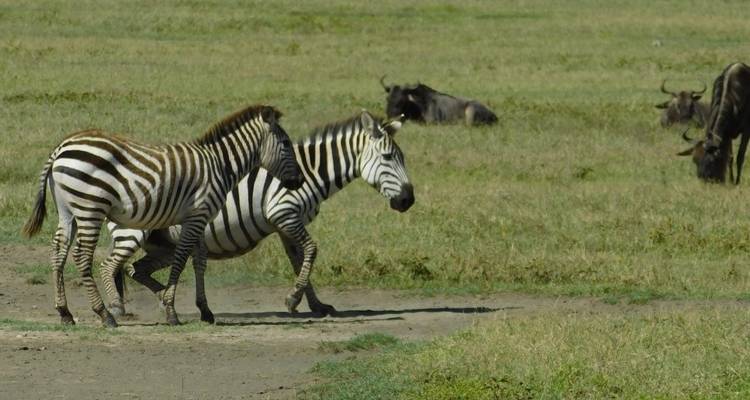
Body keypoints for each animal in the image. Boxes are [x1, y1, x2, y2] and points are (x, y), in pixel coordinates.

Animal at [22, 105, 304, 327]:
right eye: (286, 144)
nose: (299, 181)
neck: (219, 165)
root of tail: (61, 147)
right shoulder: (196, 216)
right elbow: (180, 260)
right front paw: (171, 310)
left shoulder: (199, 217)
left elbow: (199, 262)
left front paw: (205, 310)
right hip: (90, 208)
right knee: (81, 257)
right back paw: (104, 314)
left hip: (67, 210)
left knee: (58, 253)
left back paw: (65, 313)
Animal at [100, 110, 414, 321]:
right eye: (388, 158)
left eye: (403, 158)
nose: (408, 200)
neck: (311, 171)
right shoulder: (284, 212)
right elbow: (312, 249)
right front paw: (293, 299)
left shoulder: (286, 225)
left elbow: (299, 259)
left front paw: (314, 304)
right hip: (133, 232)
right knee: (111, 265)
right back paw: (121, 307)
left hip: (164, 245)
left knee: (135, 269)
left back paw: (163, 298)